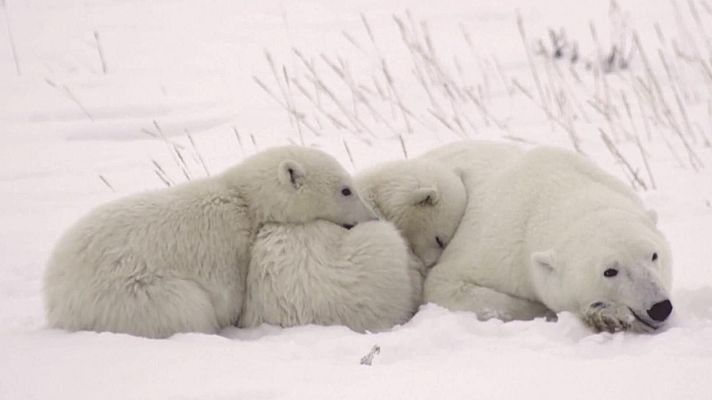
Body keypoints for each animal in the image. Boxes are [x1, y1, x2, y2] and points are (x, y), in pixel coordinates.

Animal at [44, 145, 376, 338]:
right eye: (346, 190)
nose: (372, 217)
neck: (244, 201)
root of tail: (56, 302)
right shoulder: (231, 253)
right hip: (131, 294)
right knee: (184, 305)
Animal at [421, 141, 673, 333]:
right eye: (609, 271)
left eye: (653, 255)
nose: (660, 307)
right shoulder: (492, 248)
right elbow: (442, 284)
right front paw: (604, 314)